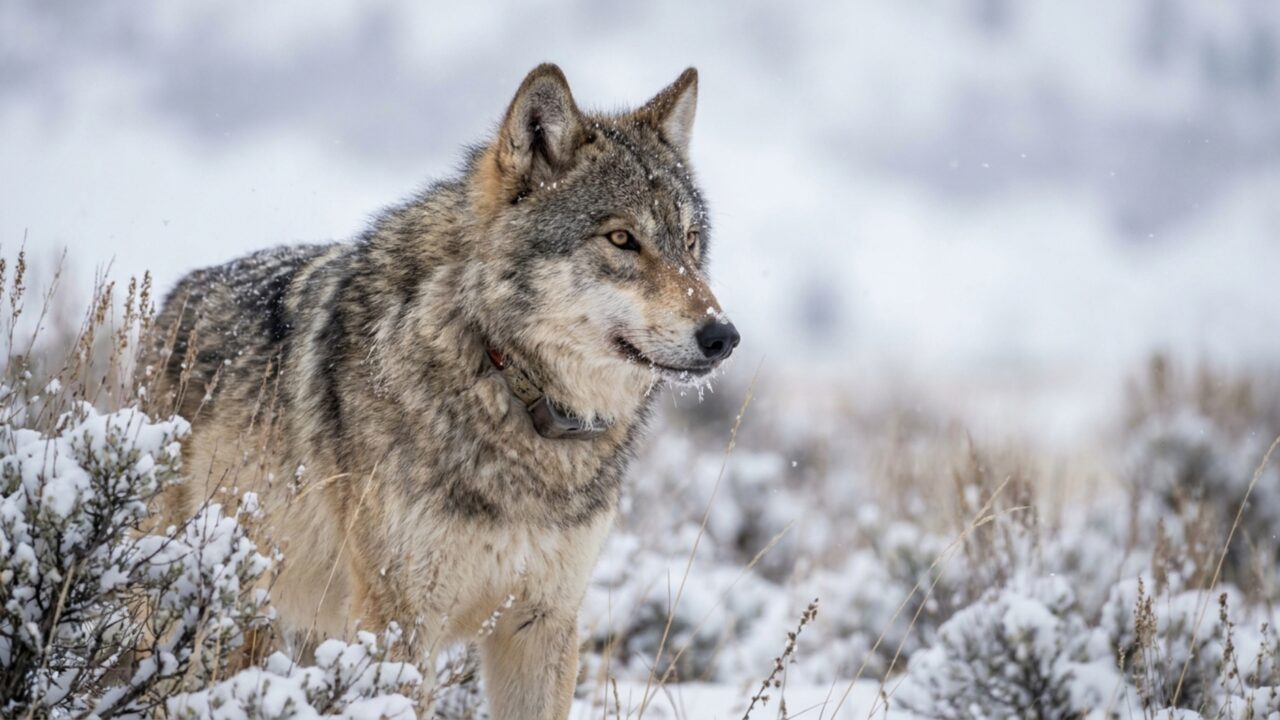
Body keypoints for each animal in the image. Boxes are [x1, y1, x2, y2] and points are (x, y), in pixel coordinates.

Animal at [151, 64, 738, 718]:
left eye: (690, 240)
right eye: (620, 239)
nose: (723, 336)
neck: (503, 375)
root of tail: (171, 302)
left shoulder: (543, 623)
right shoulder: (399, 624)